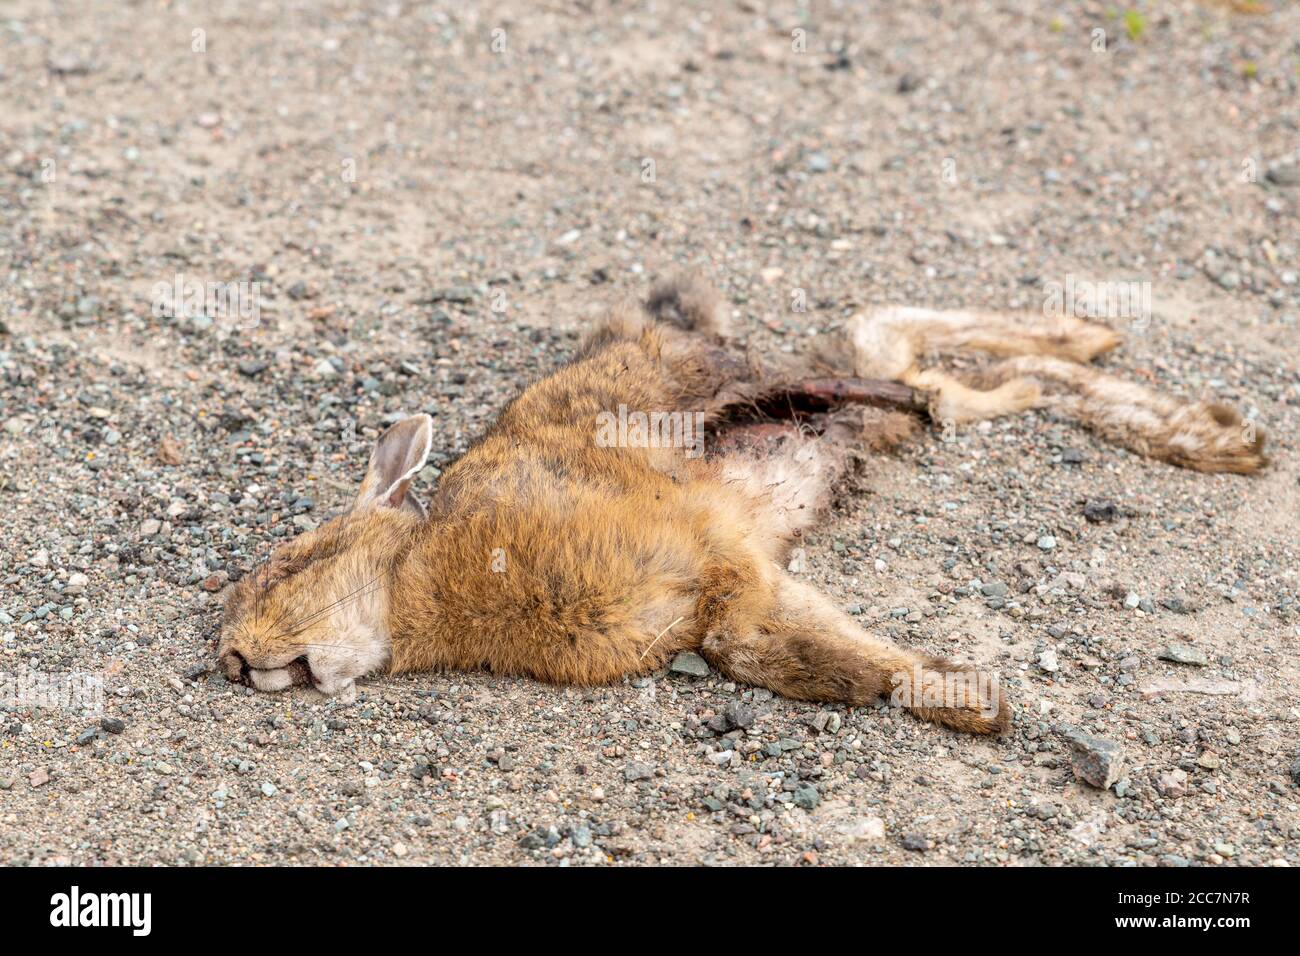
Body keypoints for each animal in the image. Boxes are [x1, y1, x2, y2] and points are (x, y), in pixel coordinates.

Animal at [216, 276, 1266, 734]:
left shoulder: (720, 558)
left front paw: (975, 704)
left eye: (287, 568)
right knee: (943, 373)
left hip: (773, 390)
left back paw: (1121, 356)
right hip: (869, 411)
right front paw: (968, 695)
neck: (417, 584)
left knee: (903, 346)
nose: (228, 661)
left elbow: (806, 641)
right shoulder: (726, 599)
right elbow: (791, 652)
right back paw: (1187, 417)